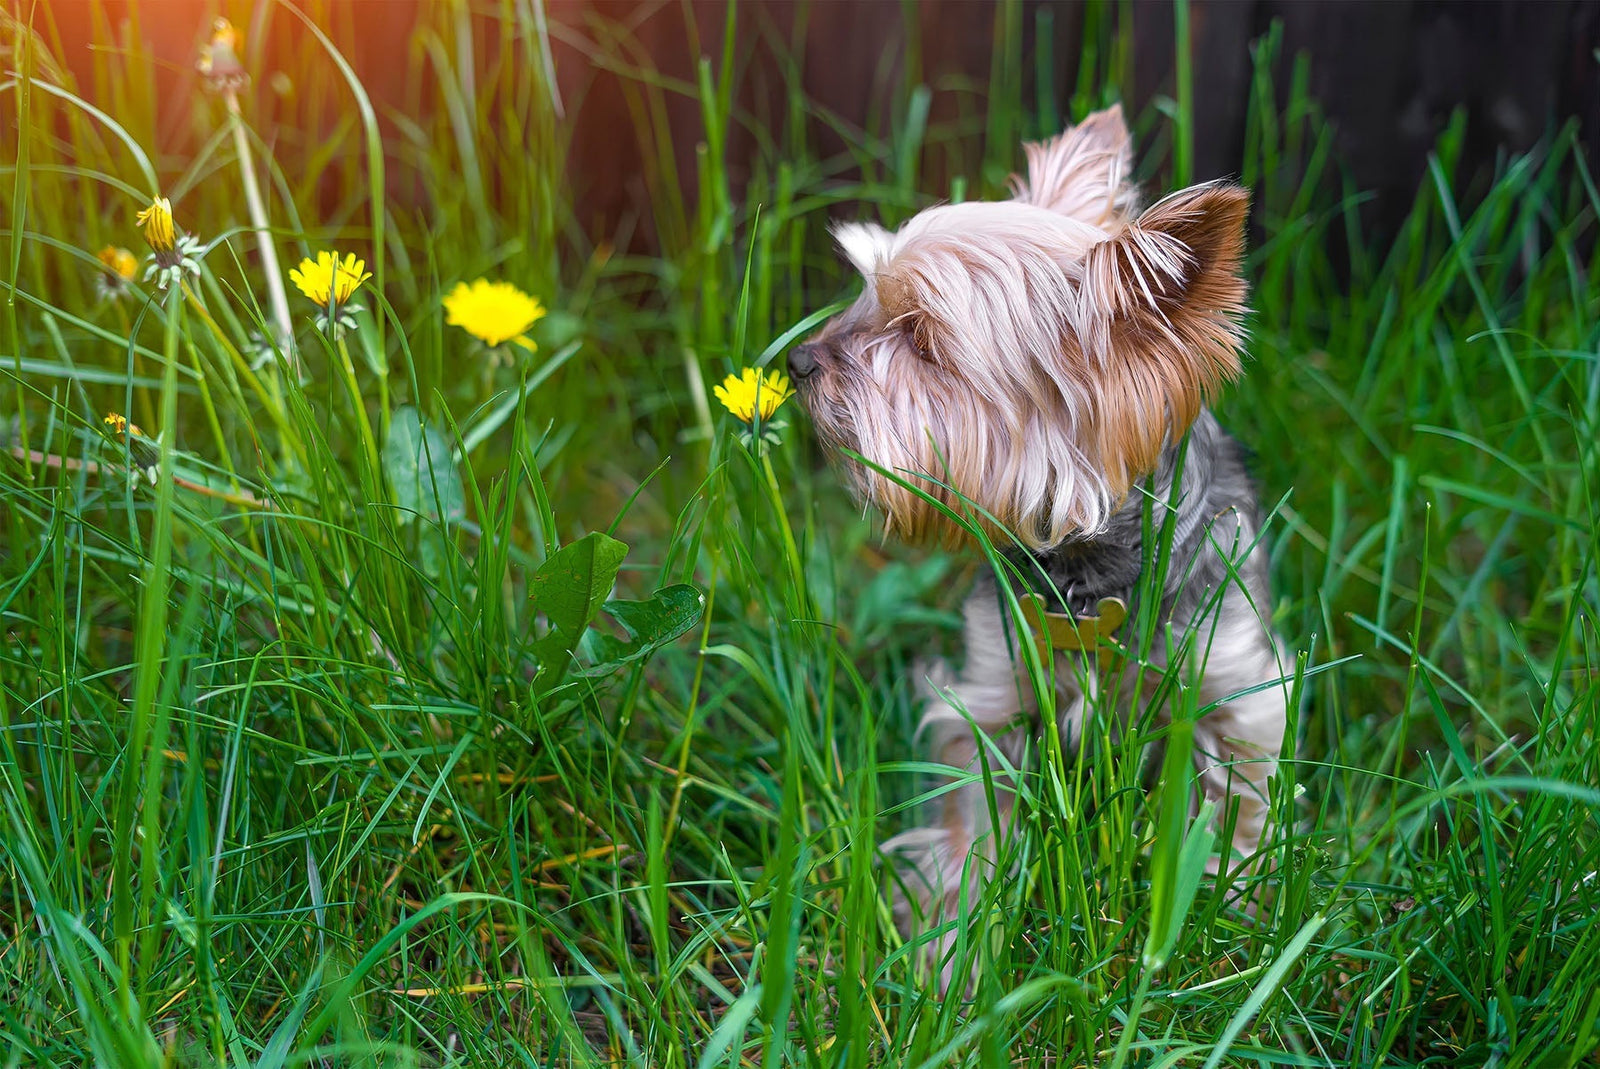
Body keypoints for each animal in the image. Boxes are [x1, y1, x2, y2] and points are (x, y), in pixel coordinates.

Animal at [793, 108, 1292, 985]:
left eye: (921, 338)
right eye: (865, 294)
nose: (794, 361)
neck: (1090, 575)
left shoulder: (1233, 692)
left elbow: (1235, 819)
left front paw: (1234, 934)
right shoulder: (990, 700)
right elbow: (973, 829)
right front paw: (954, 954)